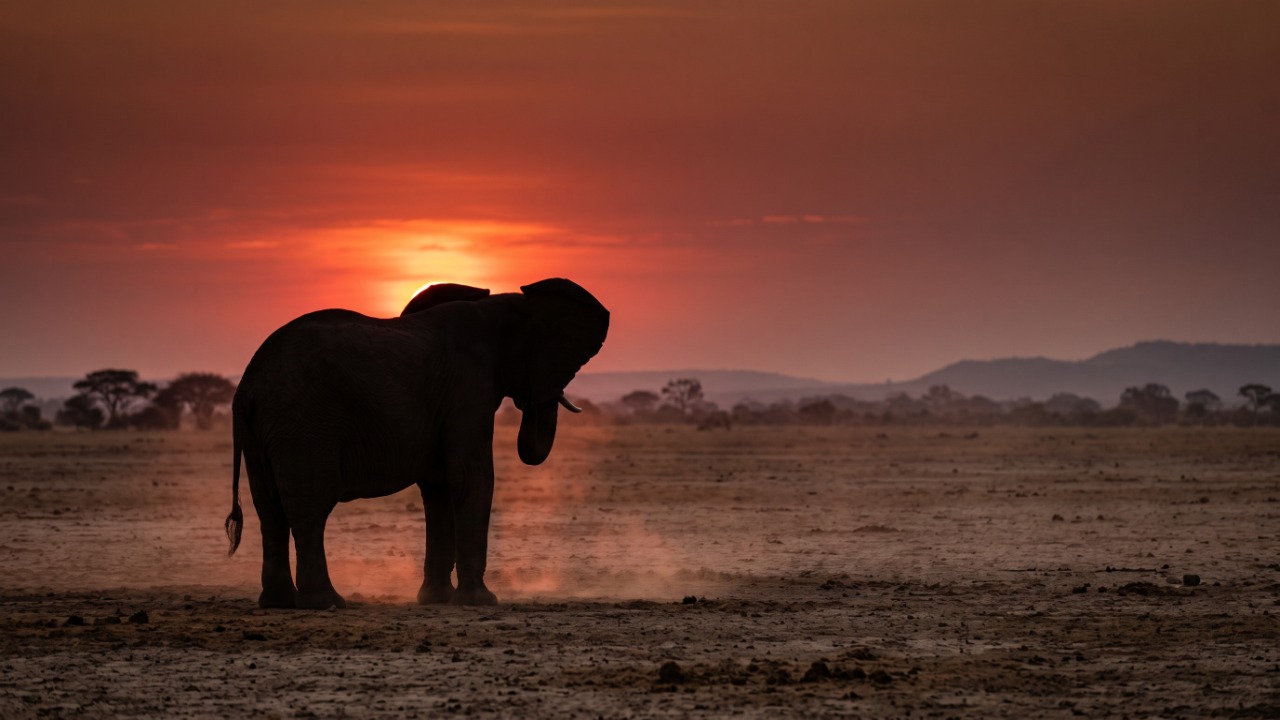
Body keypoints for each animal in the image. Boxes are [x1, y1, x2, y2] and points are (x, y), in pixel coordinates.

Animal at [223, 278, 609, 609]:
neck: (501, 304)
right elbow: (472, 478)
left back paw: (279, 603)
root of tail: (248, 386)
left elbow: (439, 487)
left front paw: (437, 600)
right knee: (309, 506)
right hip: (304, 423)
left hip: (266, 429)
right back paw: (327, 603)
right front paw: (482, 601)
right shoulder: (468, 388)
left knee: (269, 508)